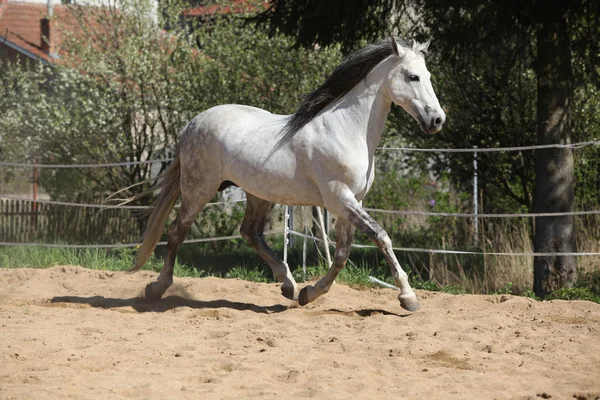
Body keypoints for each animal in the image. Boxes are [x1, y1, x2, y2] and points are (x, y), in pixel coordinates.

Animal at [131, 36, 442, 312]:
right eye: (413, 77)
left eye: (429, 75)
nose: (437, 120)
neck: (347, 130)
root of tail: (193, 123)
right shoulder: (339, 199)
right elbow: (381, 236)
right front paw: (408, 297)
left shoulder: (352, 202)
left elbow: (341, 255)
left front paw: (309, 293)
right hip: (199, 188)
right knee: (176, 231)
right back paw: (157, 287)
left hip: (258, 192)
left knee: (250, 232)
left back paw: (289, 284)